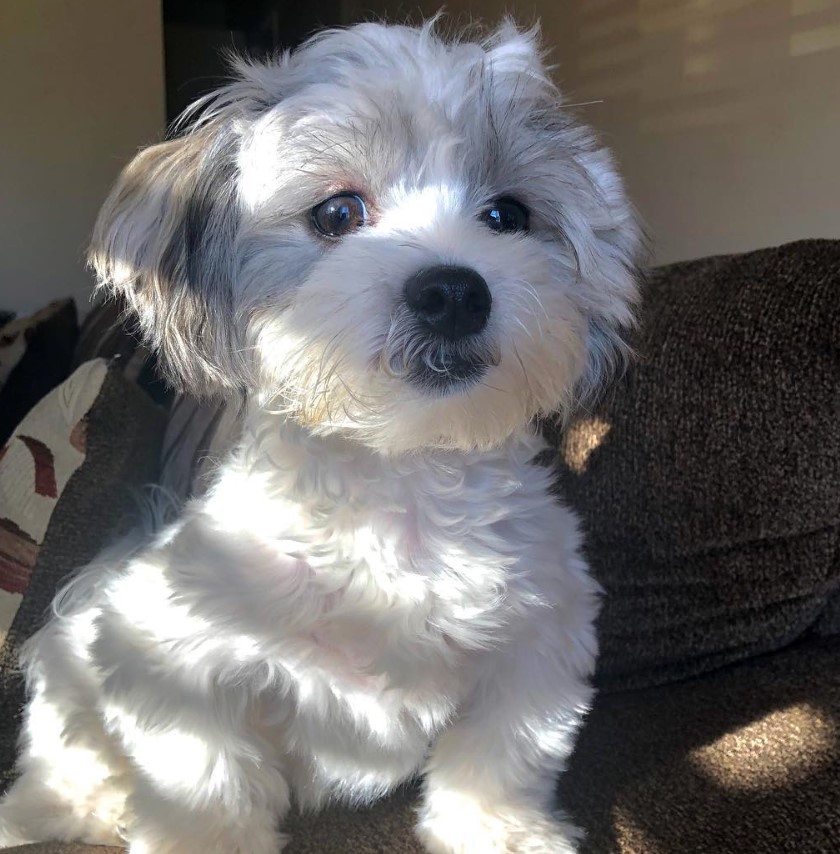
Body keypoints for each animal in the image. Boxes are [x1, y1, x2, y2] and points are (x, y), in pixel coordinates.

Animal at [0, 20, 636, 854]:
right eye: (337, 214)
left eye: (508, 216)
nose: (454, 291)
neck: (401, 491)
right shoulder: (171, 662)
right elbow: (204, 785)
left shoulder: (537, 649)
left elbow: (499, 760)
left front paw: (503, 832)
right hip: (79, 668)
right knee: (67, 759)